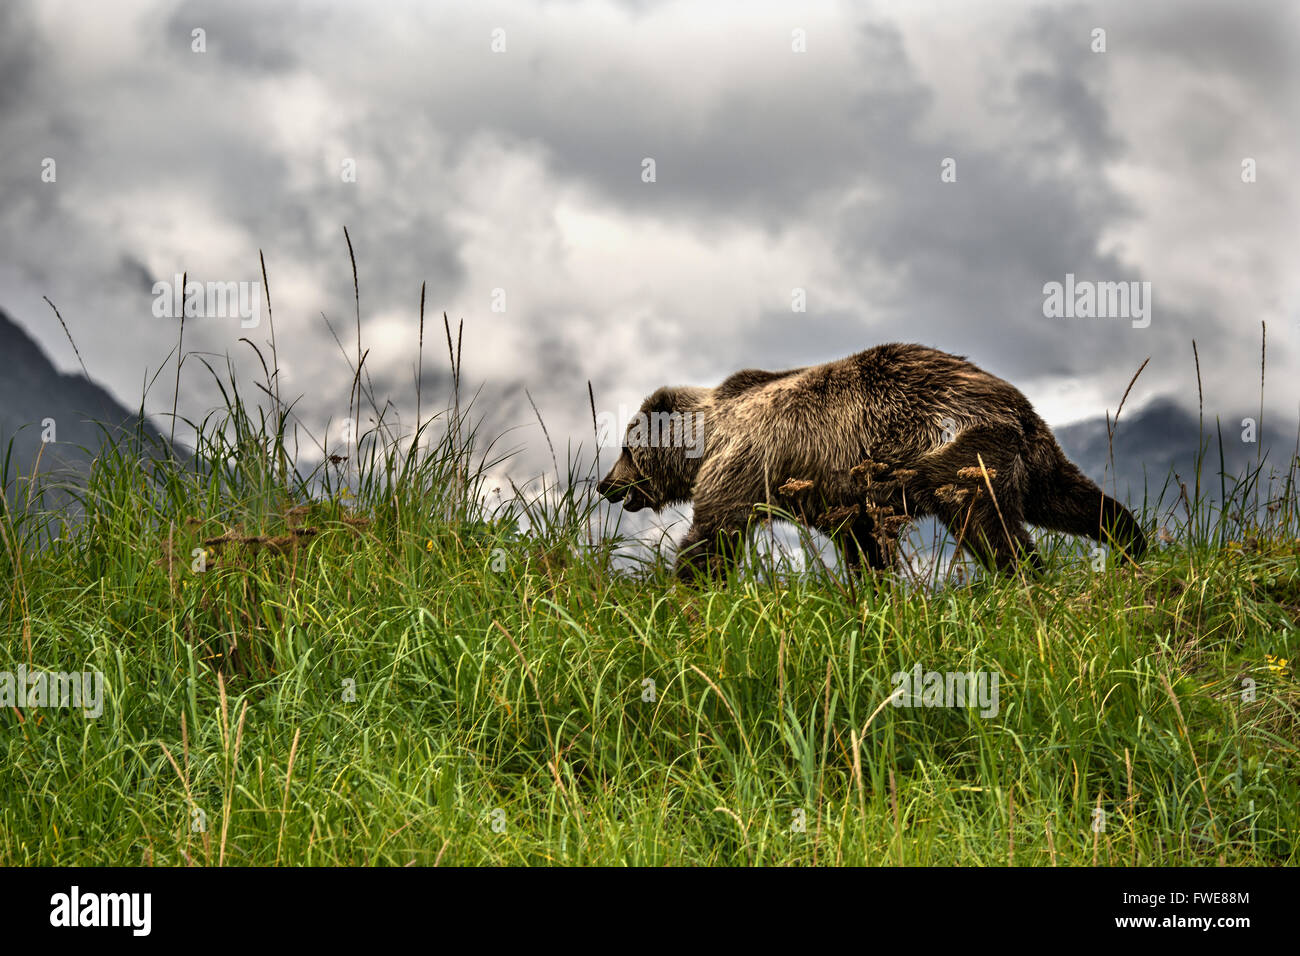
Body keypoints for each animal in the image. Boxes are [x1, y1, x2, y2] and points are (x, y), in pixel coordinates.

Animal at [595, 343, 1149, 582]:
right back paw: (1131, 543)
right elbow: (865, 548)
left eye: (625, 447)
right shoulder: (842, 499)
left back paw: (1024, 577)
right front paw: (875, 594)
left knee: (989, 527)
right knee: (1070, 498)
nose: (605, 485)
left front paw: (682, 589)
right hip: (1034, 456)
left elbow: (713, 533)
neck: (710, 435)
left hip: (957, 454)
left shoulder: (744, 465)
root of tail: (1014, 407)